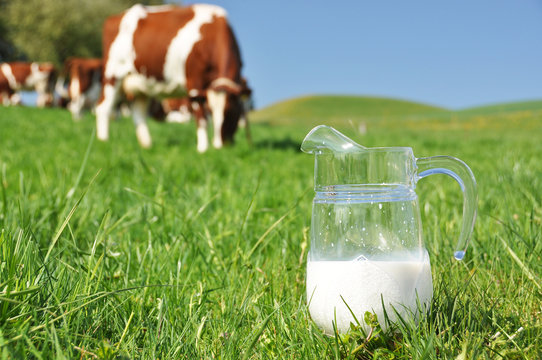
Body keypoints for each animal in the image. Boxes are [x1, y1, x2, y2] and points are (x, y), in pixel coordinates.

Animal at [95, 3, 244, 152]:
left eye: (231, 111)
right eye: (211, 110)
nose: (220, 146)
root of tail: (114, 18)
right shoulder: (194, 82)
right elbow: (201, 118)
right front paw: (203, 149)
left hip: (141, 83)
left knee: (138, 113)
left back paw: (147, 146)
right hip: (113, 74)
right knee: (103, 107)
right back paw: (103, 142)